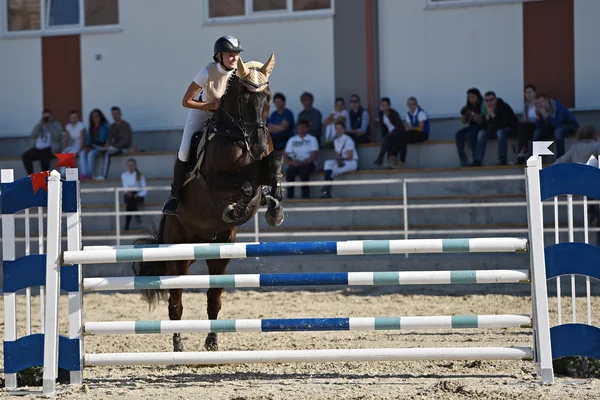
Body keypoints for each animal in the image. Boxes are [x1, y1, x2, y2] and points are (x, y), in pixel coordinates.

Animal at [133, 54, 286, 352]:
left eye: (269, 97)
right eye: (245, 99)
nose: (258, 145)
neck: (238, 134)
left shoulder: (261, 166)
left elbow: (272, 169)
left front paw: (274, 207)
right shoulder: (214, 180)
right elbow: (244, 187)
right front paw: (234, 209)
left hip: (219, 254)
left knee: (213, 299)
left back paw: (212, 341)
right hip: (178, 254)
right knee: (176, 303)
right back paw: (178, 345)